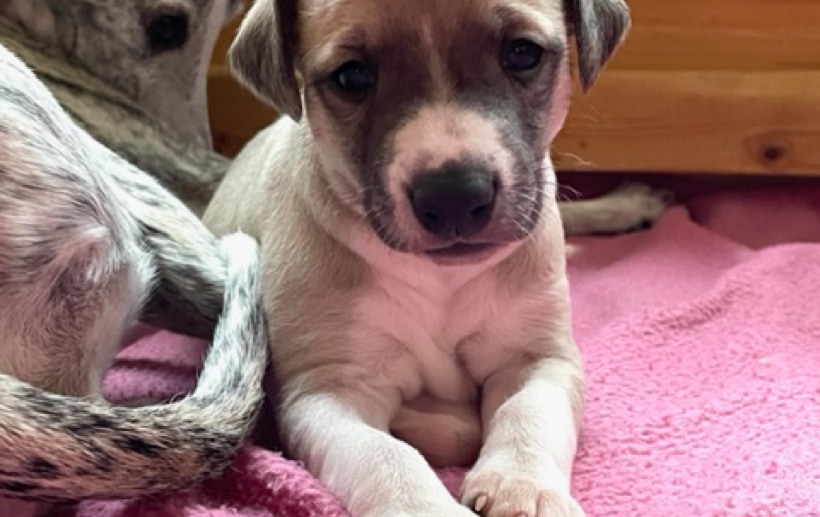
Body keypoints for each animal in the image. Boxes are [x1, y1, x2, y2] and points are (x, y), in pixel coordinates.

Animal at [203, 0, 669, 516]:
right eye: (352, 77)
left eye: (522, 53)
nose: (454, 197)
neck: (438, 276)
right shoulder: (327, 389)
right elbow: (384, 455)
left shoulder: (538, 356)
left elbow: (526, 412)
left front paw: (523, 487)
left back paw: (629, 204)